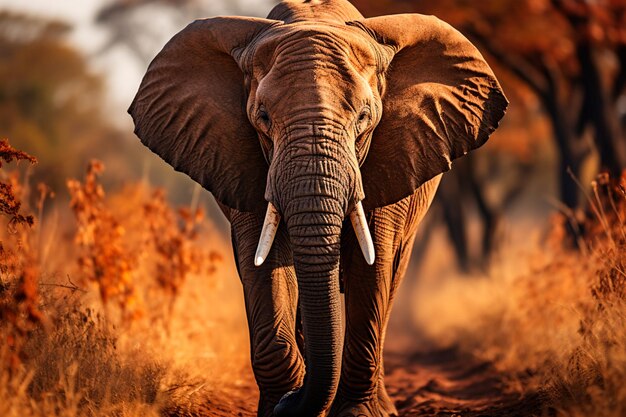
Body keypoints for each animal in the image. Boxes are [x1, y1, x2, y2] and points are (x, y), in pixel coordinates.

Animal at [128, 1, 508, 414]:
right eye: (263, 117)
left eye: (364, 117)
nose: (291, 401)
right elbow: (261, 264)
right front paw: (281, 405)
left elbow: (372, 264)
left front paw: (355, 412)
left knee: (391, 276)